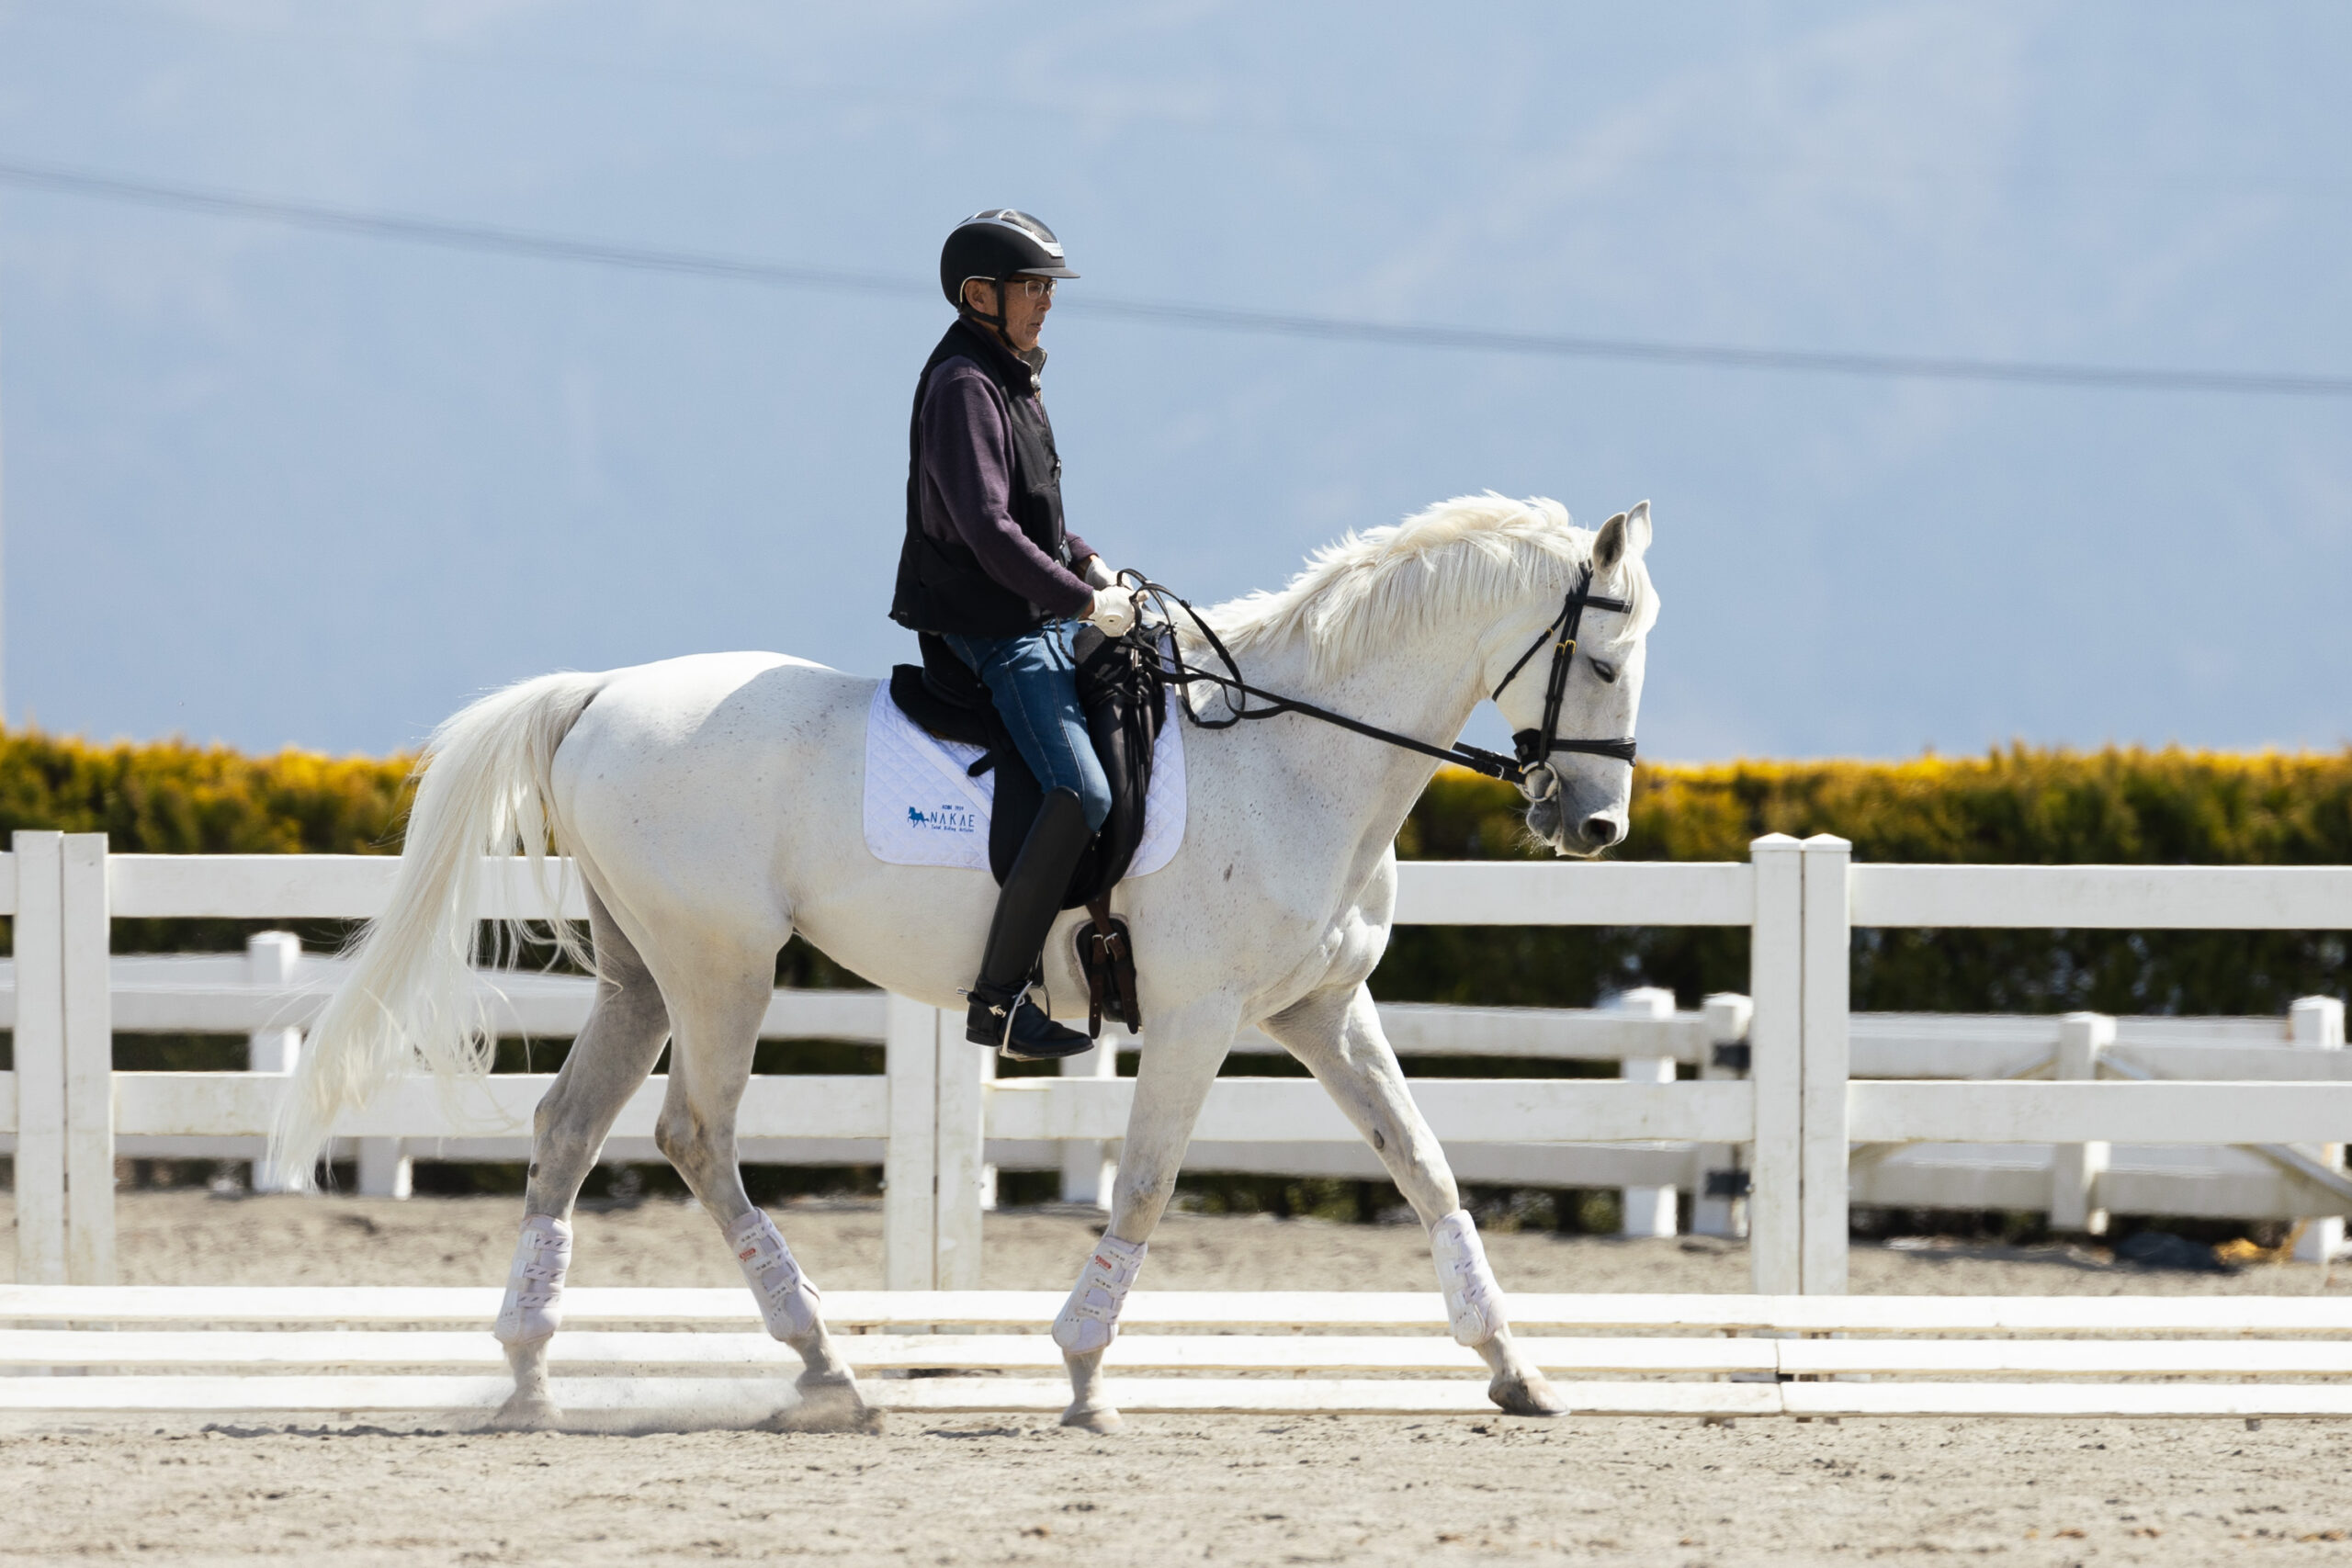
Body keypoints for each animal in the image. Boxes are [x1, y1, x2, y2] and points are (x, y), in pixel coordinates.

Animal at [275, 493, 1656, 1438]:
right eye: (1599, 658)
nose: (1592, 827)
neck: (1292, 755)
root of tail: (601, 691)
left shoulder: (1323, 1007)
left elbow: (1425, 1165)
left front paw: (1517, 1370)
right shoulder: (1200, 1013)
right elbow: (1146, 1182)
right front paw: (1086, 1375)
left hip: (644, 975)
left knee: (568, 1128)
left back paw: (530, 1373)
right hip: (723, 969)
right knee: (693, 1134)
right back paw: (826, 1364)